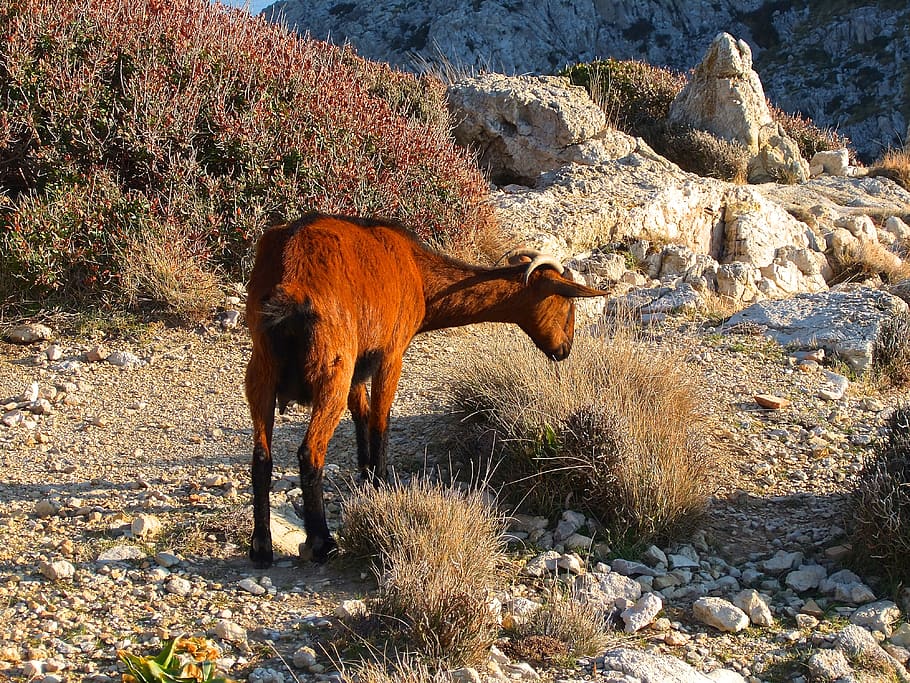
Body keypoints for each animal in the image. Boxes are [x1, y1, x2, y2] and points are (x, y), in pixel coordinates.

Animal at [244, 212, 608, 566]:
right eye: (566, 304)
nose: (564, 349)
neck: (417, 271)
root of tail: (289, 283)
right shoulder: (390, 355)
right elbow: (379, 422)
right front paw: (380, 488)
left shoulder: (359, 366)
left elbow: (361, 415)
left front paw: (366, 482)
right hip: (332, 370)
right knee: (311, 451)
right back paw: (321, 543)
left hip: (262, 369)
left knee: (262, 456)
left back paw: (261, 547)